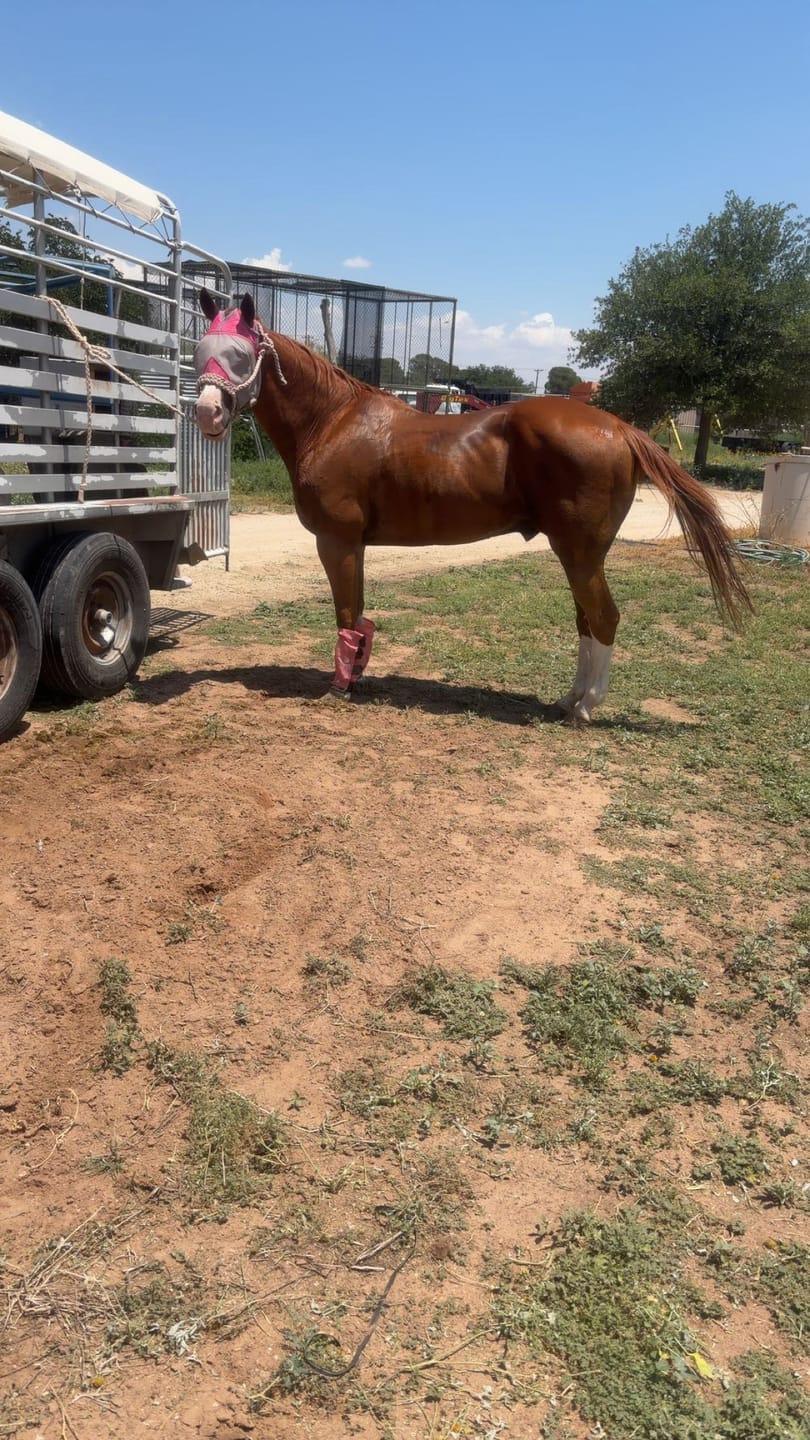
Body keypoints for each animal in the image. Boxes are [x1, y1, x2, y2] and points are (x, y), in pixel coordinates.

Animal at [193, 291, 751, 721]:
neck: (333, 421)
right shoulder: (356, 545)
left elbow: (347, 614)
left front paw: (340, 687)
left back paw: (586, 707)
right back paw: (568, 699)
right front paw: (359, 678)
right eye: (200, 351)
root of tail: (619, 427)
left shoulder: (338, 541)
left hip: (580, 552)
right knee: (586, 620)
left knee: (604, 618)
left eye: (241, 355)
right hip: (582, 554)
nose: (206, 413)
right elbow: (361, 613)